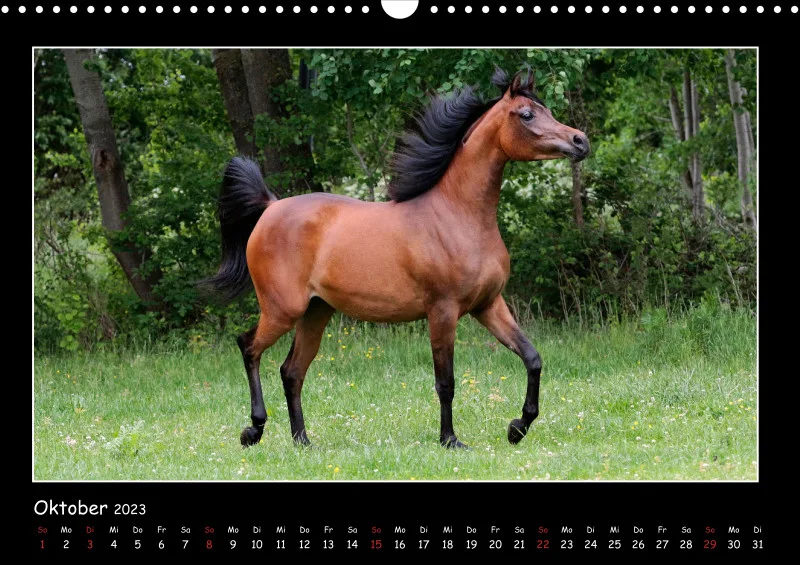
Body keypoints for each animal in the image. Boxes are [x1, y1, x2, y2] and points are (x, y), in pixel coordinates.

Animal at [202, 67, 589, 449]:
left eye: (546, 109)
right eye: (526, 114)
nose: (580, 141)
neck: (459, 215)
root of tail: (270, 208)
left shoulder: (488, 305)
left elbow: (532, 358)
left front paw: (517, 428)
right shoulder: (443, 311)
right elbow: (445, 382)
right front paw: (450, 440)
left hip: (315, 312)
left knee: (291, 372)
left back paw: (302, 441)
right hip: (283, 309)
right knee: (249, 348)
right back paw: (253, 430)